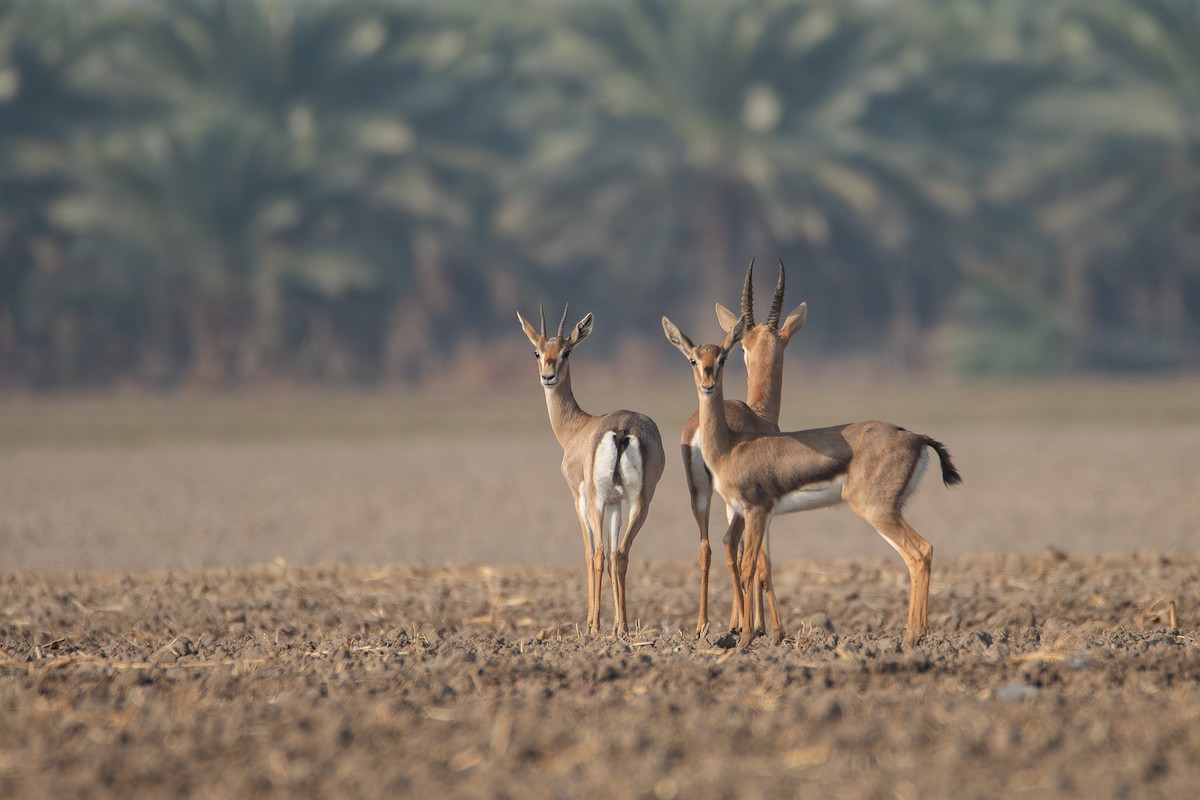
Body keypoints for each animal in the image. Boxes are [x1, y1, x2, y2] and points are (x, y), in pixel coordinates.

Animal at [518, 305, 666, 635]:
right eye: (537, 351)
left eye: (567, 351)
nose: (548, 376)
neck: (577, 428)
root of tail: (622, 429)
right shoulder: (615, 502)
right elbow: (612, 554)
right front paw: (617, 623)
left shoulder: (579, 498)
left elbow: (588, 553)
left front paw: (591, 622)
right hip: (641, 502)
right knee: (620, 553)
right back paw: (622, 627)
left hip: (596, 500)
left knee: (598, 553)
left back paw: (596, 625)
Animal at [662, 314, 961, 649]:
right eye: (693, 359)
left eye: (722, 357)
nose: (708, 385)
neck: (731, 446)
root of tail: (915, 437)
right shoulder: (749, 512)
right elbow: (748, 561)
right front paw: (754, 633)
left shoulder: (756, 511)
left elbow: (751, 564)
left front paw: (751, 635)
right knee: (922, 552)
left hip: (877, 511)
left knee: (919, 553)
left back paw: (911, 637)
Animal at [681, 259, 807, 637]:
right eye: (742, 349)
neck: (759, 415)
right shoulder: (761, 505)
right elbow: (763, 559)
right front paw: (766, 627)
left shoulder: (733, 503)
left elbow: (738, 553)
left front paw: (741, 621)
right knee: (735, 548)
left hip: (700, 495)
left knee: (708, 546)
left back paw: (704, 625)